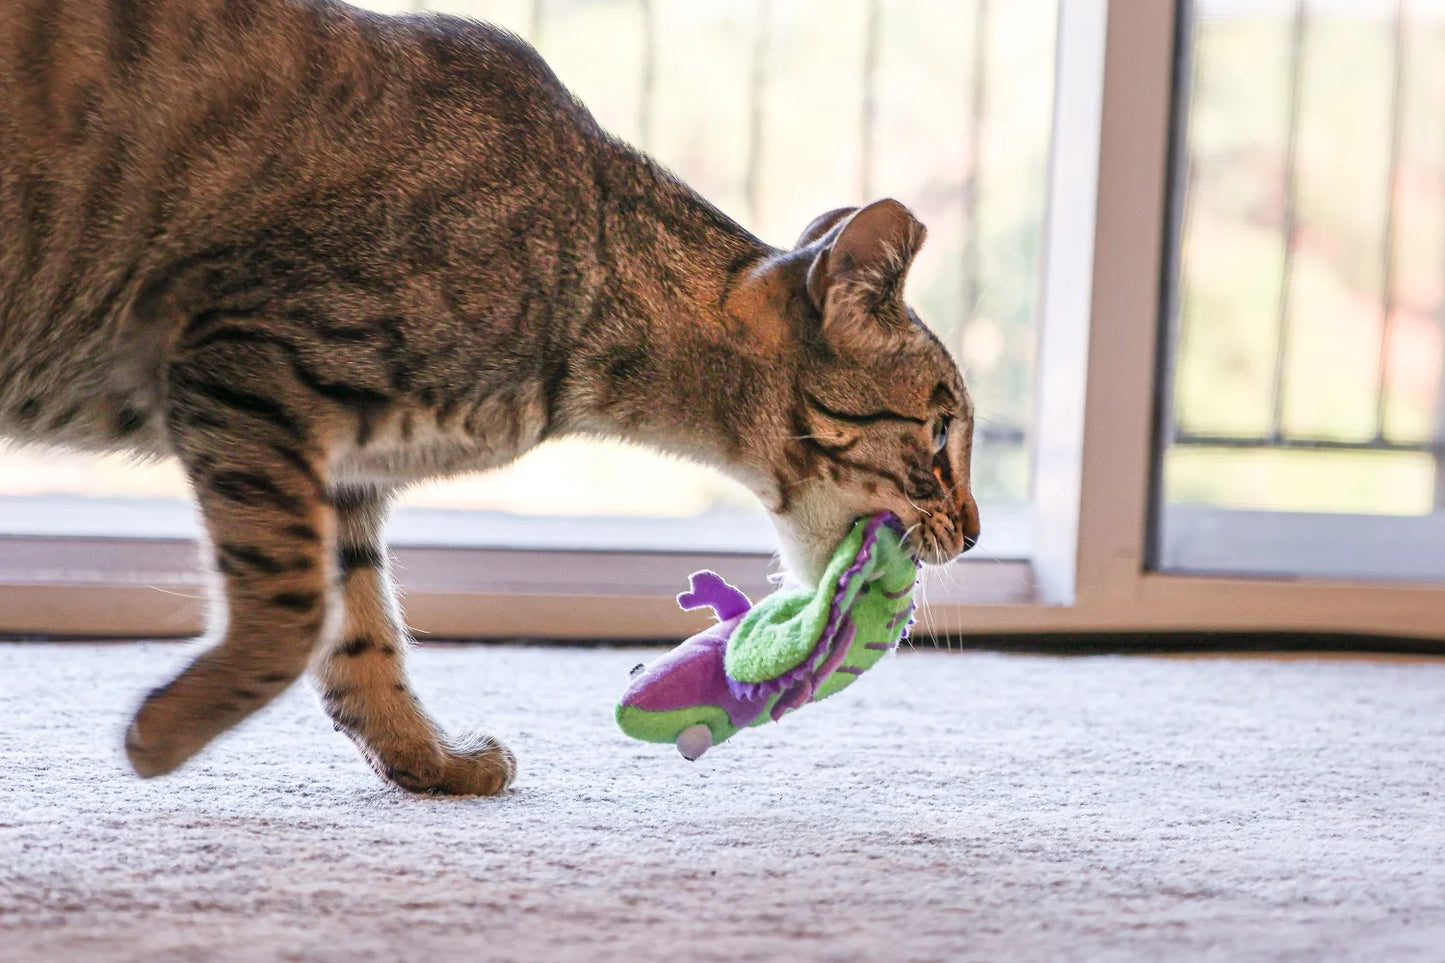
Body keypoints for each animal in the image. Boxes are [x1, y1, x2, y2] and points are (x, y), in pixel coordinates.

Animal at [2, 0, 982, 792]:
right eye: (938, 435)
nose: (974, 534)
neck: (587, 278)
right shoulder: (248, 367)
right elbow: (292, 612)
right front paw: (162, 733)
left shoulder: (340, 470)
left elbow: (361, 634)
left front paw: (426, 760)